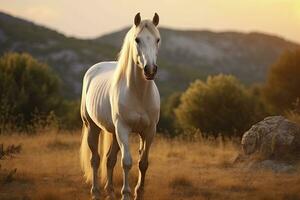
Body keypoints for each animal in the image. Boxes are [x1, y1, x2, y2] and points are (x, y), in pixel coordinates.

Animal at [79, 12, 159, 200]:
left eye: (157, 40)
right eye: (137, 39)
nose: (150, 70)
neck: (138, 94)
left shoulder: (149, 131)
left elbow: (143, 163)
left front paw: (139, 193)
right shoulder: (123, 129)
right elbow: (127, 162)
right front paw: (126, 194)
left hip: (114, 133)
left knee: (109, 160)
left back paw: (110, 192)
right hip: (93, 127)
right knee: (96, 160)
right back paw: (96, 192)